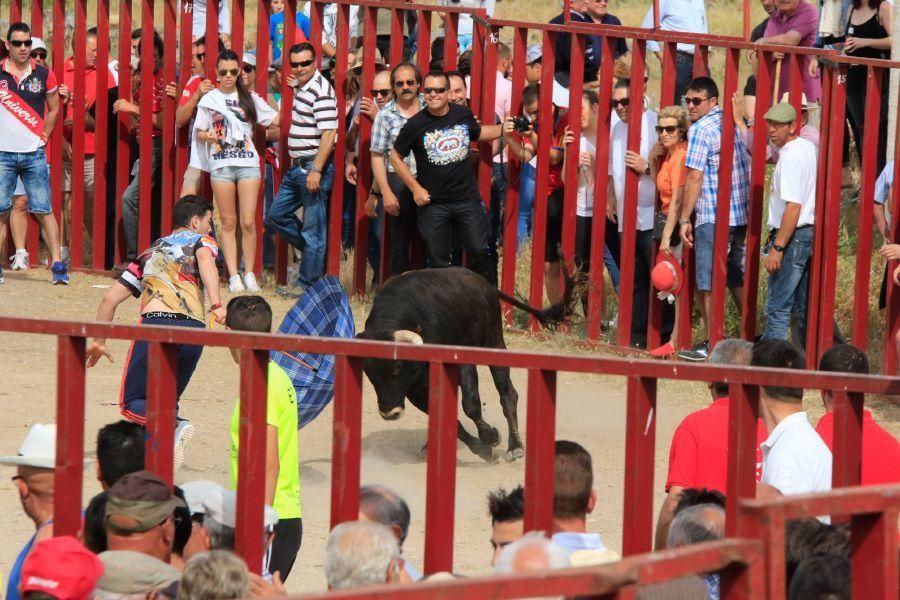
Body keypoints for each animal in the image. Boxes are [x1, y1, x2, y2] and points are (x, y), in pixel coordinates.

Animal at [356, 270, 564, 462]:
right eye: (368, 372)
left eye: (397, 367)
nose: (389, 413)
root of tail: (484, 284)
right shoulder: (414, 390)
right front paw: (482, 449)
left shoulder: (462, 364)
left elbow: (470, 406)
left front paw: (491, 436)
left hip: (495, 343)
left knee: (508, 394)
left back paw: (515, 446)